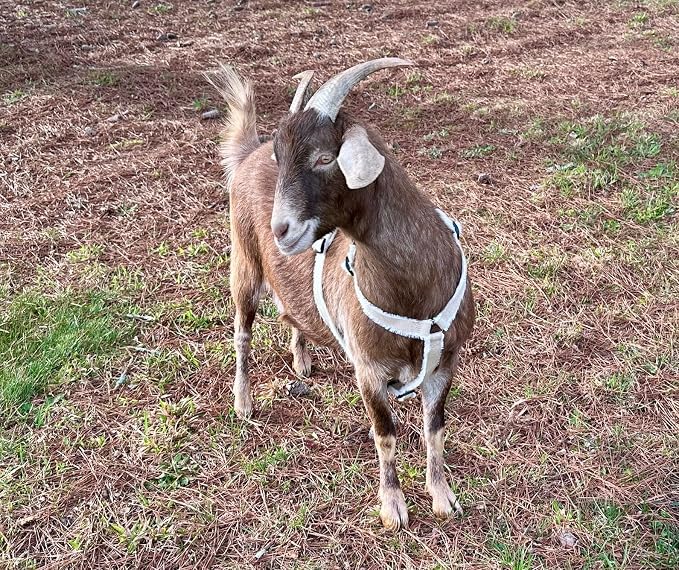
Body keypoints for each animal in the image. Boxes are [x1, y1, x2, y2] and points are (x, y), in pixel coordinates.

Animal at [206, 59, 475, 530]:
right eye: (281, 158)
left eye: (324, 157)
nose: (281, 230)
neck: (415, 296)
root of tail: (247, 153)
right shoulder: (368, 369)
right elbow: (385, 435)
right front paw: (393, 508)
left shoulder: (447, 361)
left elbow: (435, 427)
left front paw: (442, 495)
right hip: (244, 262)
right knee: (242, 331)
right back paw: (243, 402)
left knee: (291, 311)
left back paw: (301, 359)